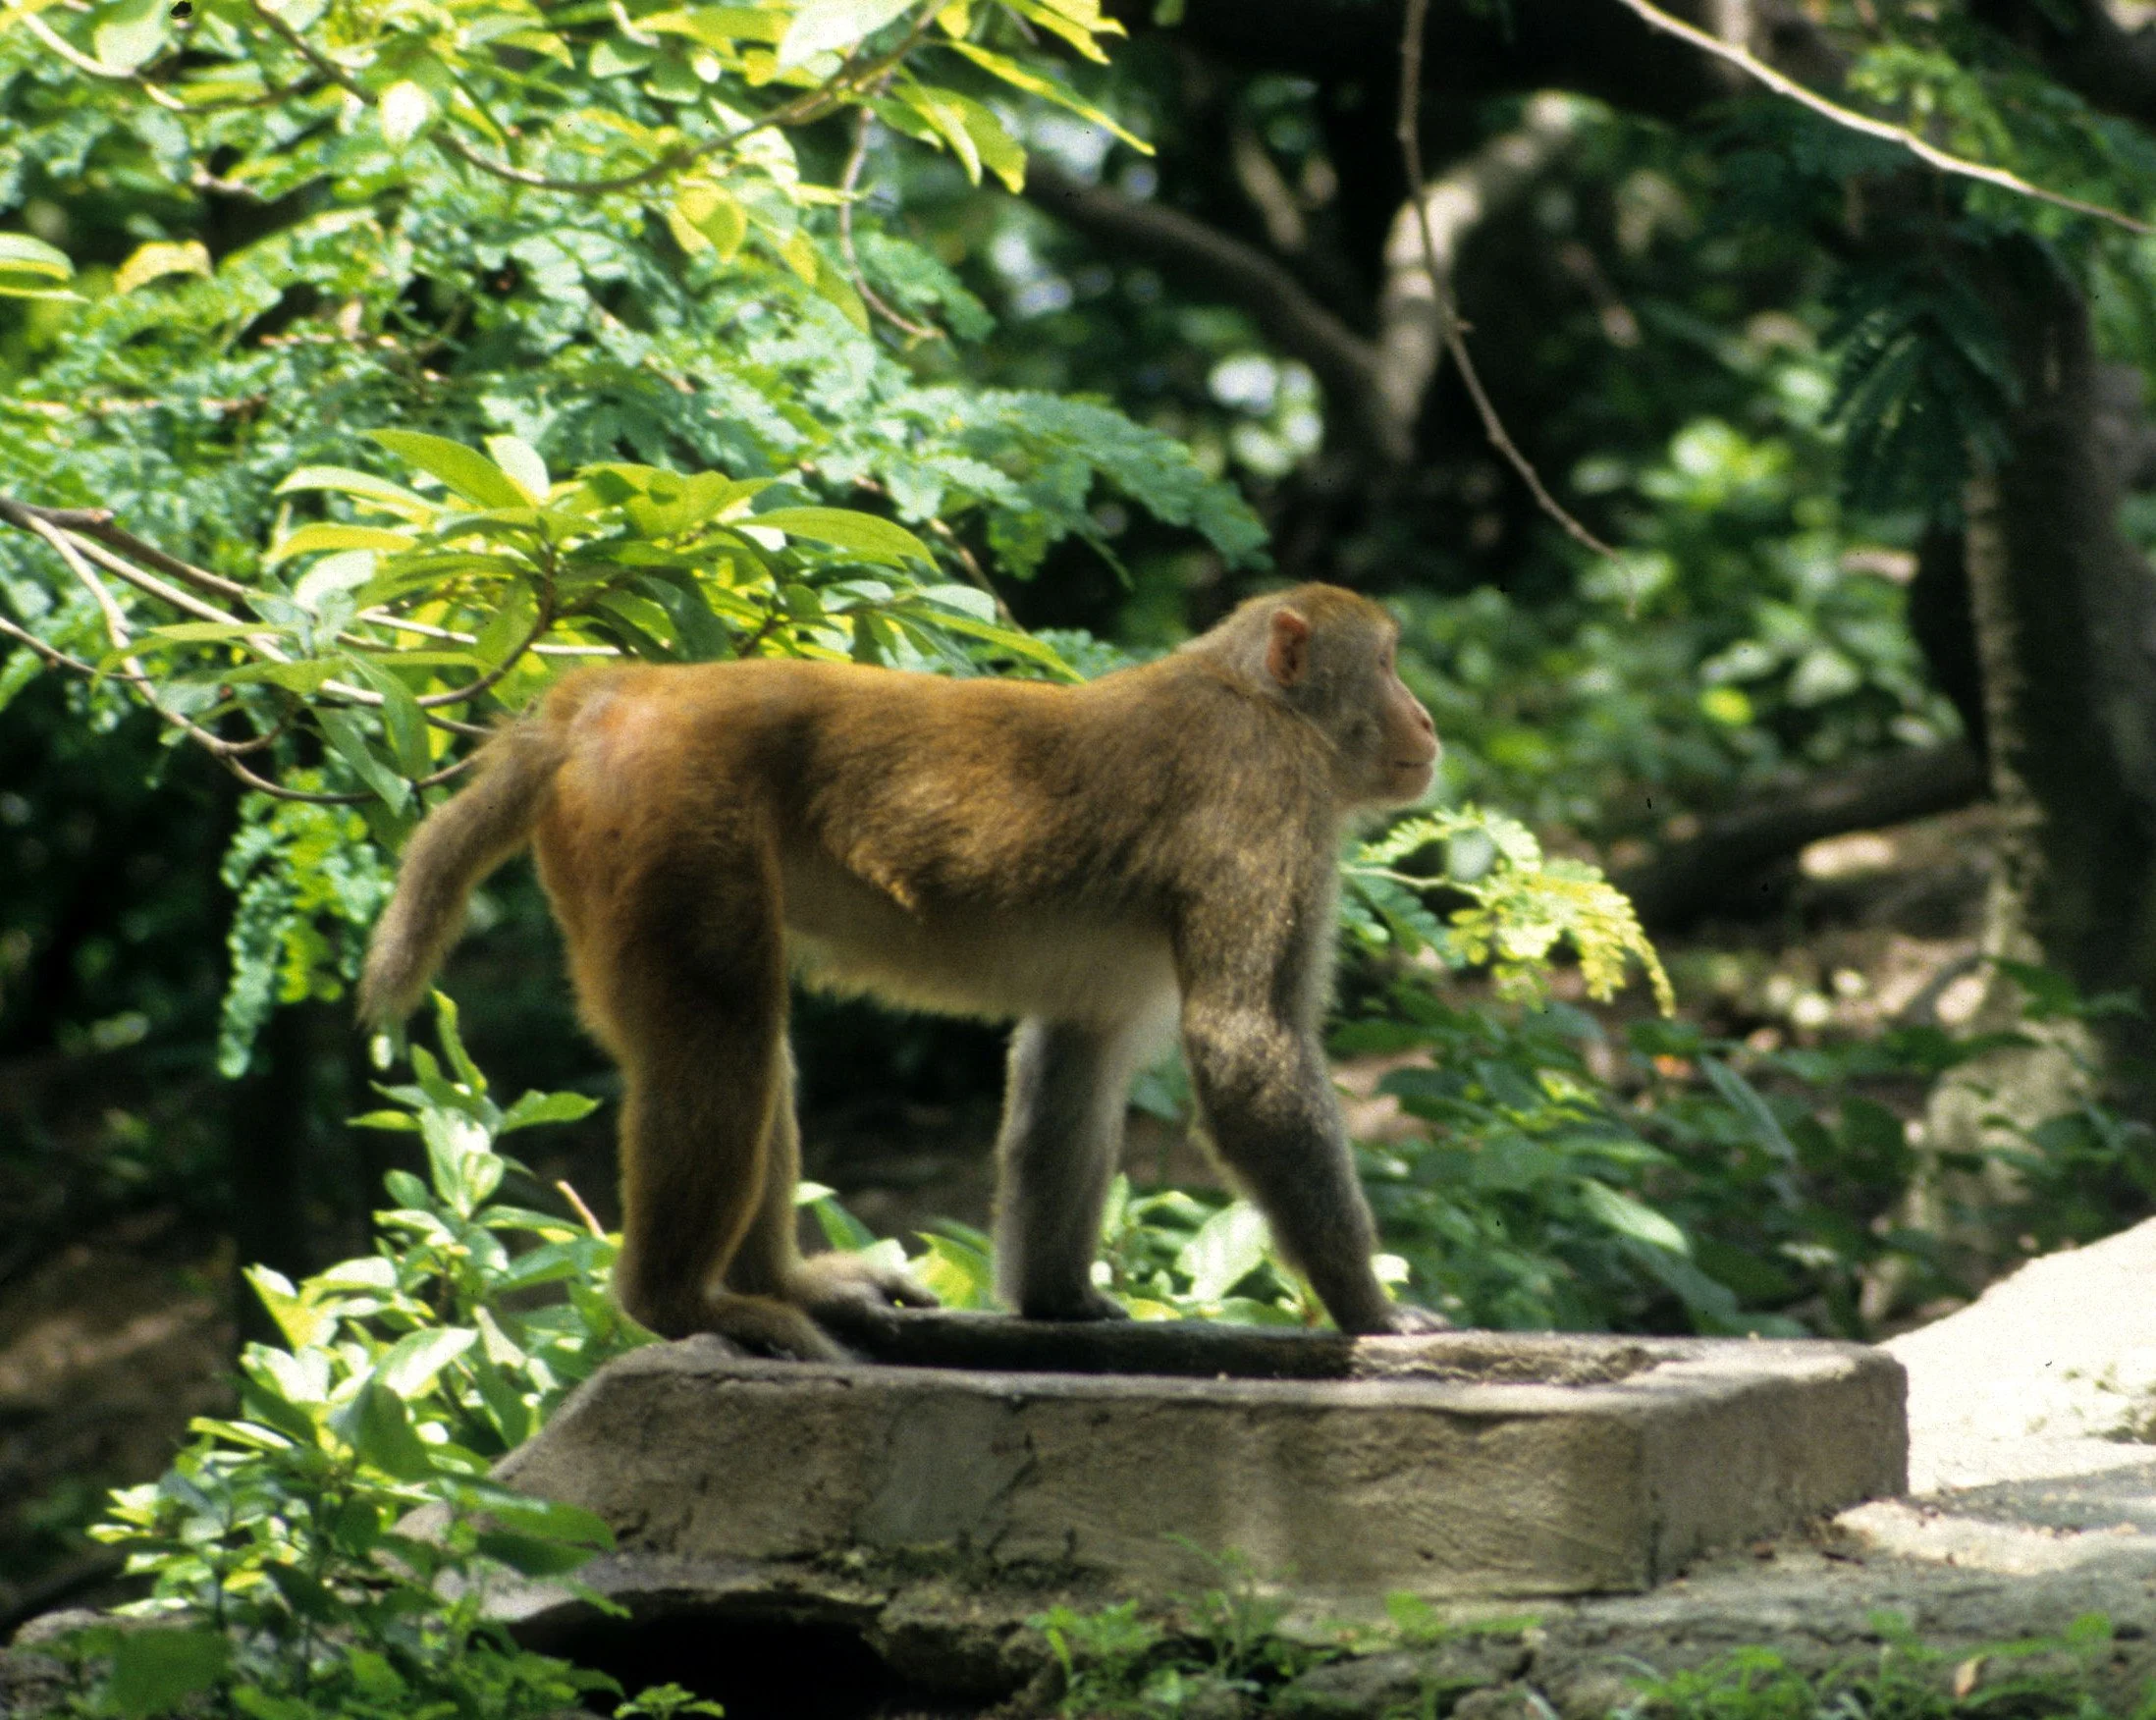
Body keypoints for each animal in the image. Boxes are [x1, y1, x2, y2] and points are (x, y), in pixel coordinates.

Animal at [359, 581, 1446, 1360]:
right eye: (1388, 664)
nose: (1430, 720)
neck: (1263, 702)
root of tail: (618, 694)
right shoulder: (1264, 800)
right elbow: (1244, 1046)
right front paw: (1370, 1309)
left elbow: (1073, 1059)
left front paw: (1060, 1301)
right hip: (671, 825)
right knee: (722, 1036)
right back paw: (680, 1304)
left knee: (745, 1046)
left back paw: (779, 1283)